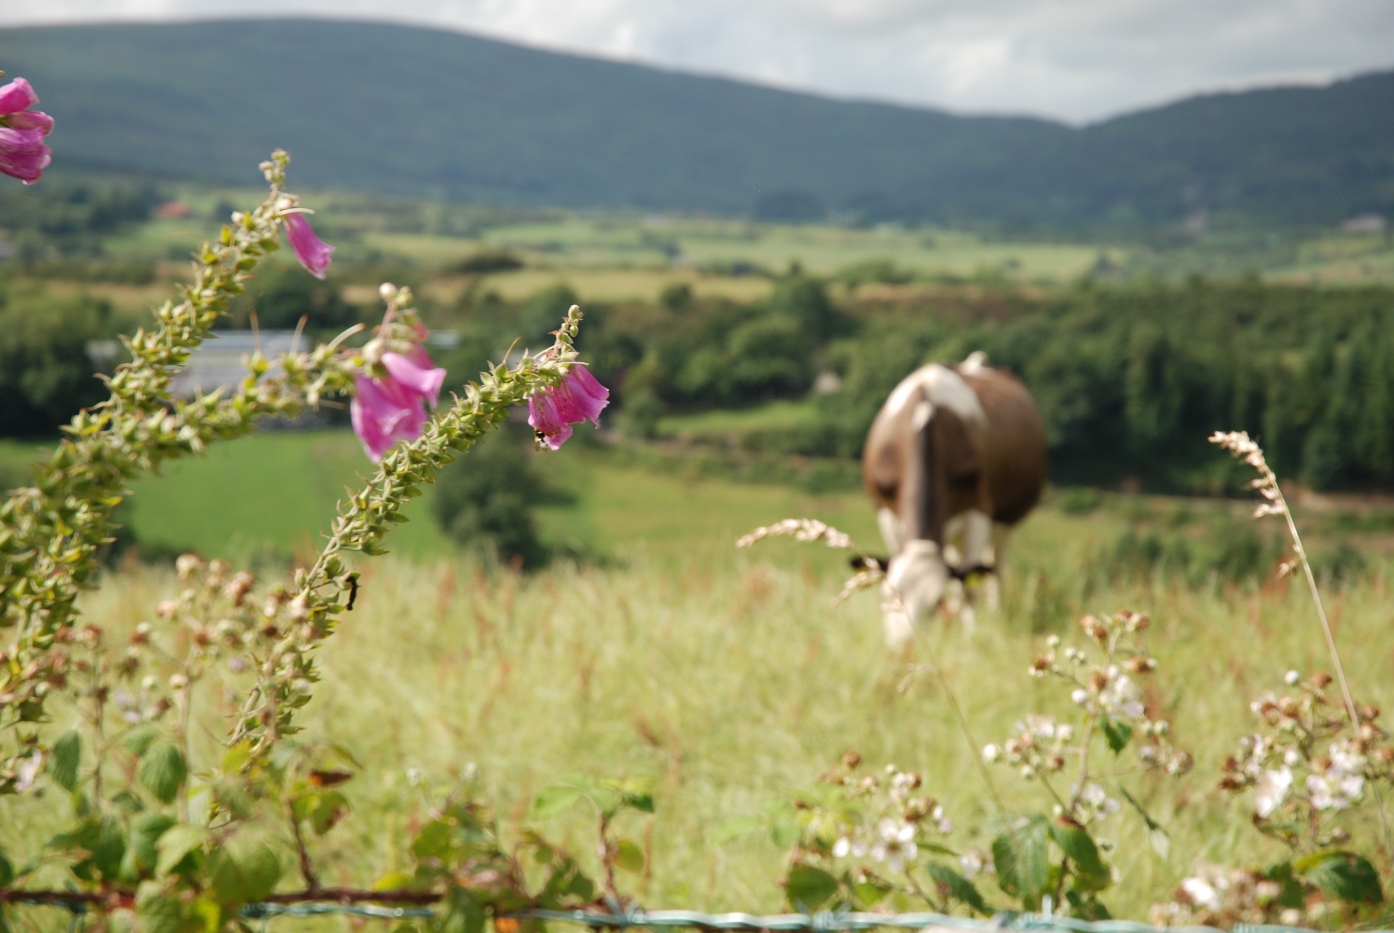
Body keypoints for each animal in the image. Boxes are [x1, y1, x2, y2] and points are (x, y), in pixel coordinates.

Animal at [858, 352, 1048, 644]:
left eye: (935, 604)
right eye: (890, 595)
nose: (904, 646)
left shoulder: (978, 512)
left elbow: (971, 587)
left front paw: (969, 638)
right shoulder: (887, 513)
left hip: (1005, 521)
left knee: (994, 570)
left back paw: (993, 614)